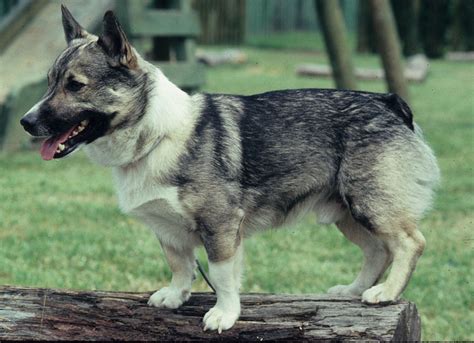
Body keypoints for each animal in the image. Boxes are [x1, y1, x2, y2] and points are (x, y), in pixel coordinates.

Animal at [20, 5, 438, 334]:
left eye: (76, 85)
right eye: (50, 82)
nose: (26, 122)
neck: (156, 135)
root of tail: (387, 101)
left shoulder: (220, 226)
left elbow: (221, 276)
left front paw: (224, 314)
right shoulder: (169, 230)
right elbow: (181, 265)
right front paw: (175, 296)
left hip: (369, 203)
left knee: (409, 243)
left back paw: (386, 293)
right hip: (347, 213)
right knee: (376, 251)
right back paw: (353, 291)